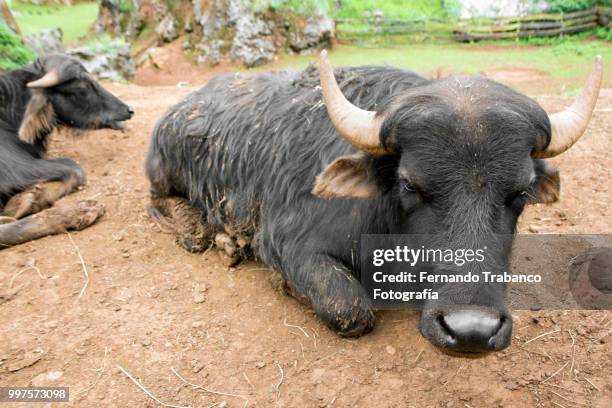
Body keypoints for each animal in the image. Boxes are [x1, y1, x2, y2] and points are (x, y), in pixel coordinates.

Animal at [0, 53, 134, 245]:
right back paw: (77, 212)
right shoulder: (16, 168)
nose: (129, 110)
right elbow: (75, 168)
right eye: (83, 87)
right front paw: (25, 201)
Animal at [148, 52, 604, 354]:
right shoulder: (286, 242)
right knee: (158, 204)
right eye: (410, 185)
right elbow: (352, 310)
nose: (471, 331)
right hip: (160, 173)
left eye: (521, 192)